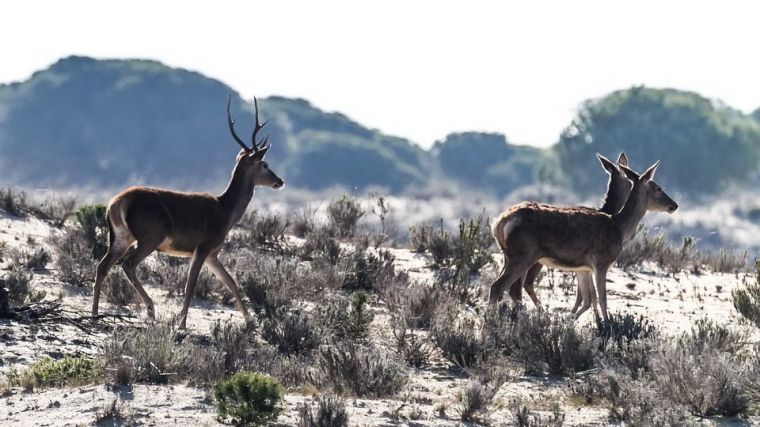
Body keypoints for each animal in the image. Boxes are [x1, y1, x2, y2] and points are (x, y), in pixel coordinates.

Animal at [93, 95, 284, 330]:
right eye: (265, 164)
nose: (280, 181)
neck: (226, 212)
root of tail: (116, 203)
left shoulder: (212, 253)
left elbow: (231, 282)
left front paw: (250, 321)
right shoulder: (203, 246)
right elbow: (190, 285)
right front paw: (182, 324)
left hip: (121, 236)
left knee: (102, 266)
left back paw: (94, 314)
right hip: (151, 235)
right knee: (127, 265)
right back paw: (151, 309)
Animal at [490, 160, 680, 320]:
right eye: (658, 188)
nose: (674, 205)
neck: (619, 227)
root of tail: (499, 222)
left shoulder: (583, 268)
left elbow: (588, 300)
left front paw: (573, 321)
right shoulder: (601, 262)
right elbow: (602, 299)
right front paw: (607, 326)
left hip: (509, 255)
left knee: (507, 288)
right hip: (523, 254)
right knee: (499, 287)